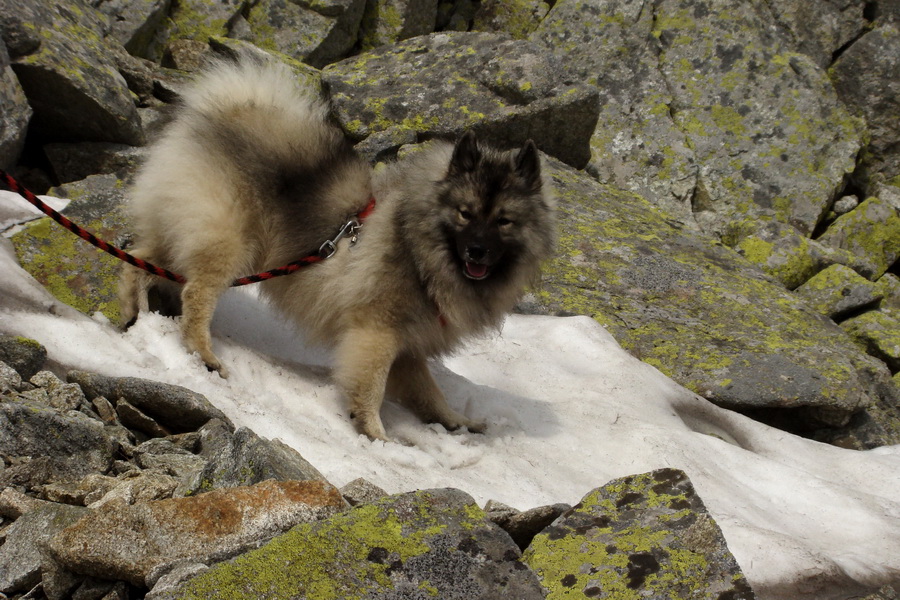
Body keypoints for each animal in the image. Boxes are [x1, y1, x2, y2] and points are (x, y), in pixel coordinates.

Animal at [119, 55, 556, 440]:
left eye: (504, 221)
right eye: (465, 214)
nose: (477, 252)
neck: (419, 249)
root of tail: (224, 112)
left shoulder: (408, 345)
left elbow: (428, 393)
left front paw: (455, 423)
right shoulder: (377, 332)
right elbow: (371, 385)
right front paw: (375, 434)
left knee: (139, 261)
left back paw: (135, 315)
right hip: (227, 242)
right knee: (196, 294)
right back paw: (204, 354)